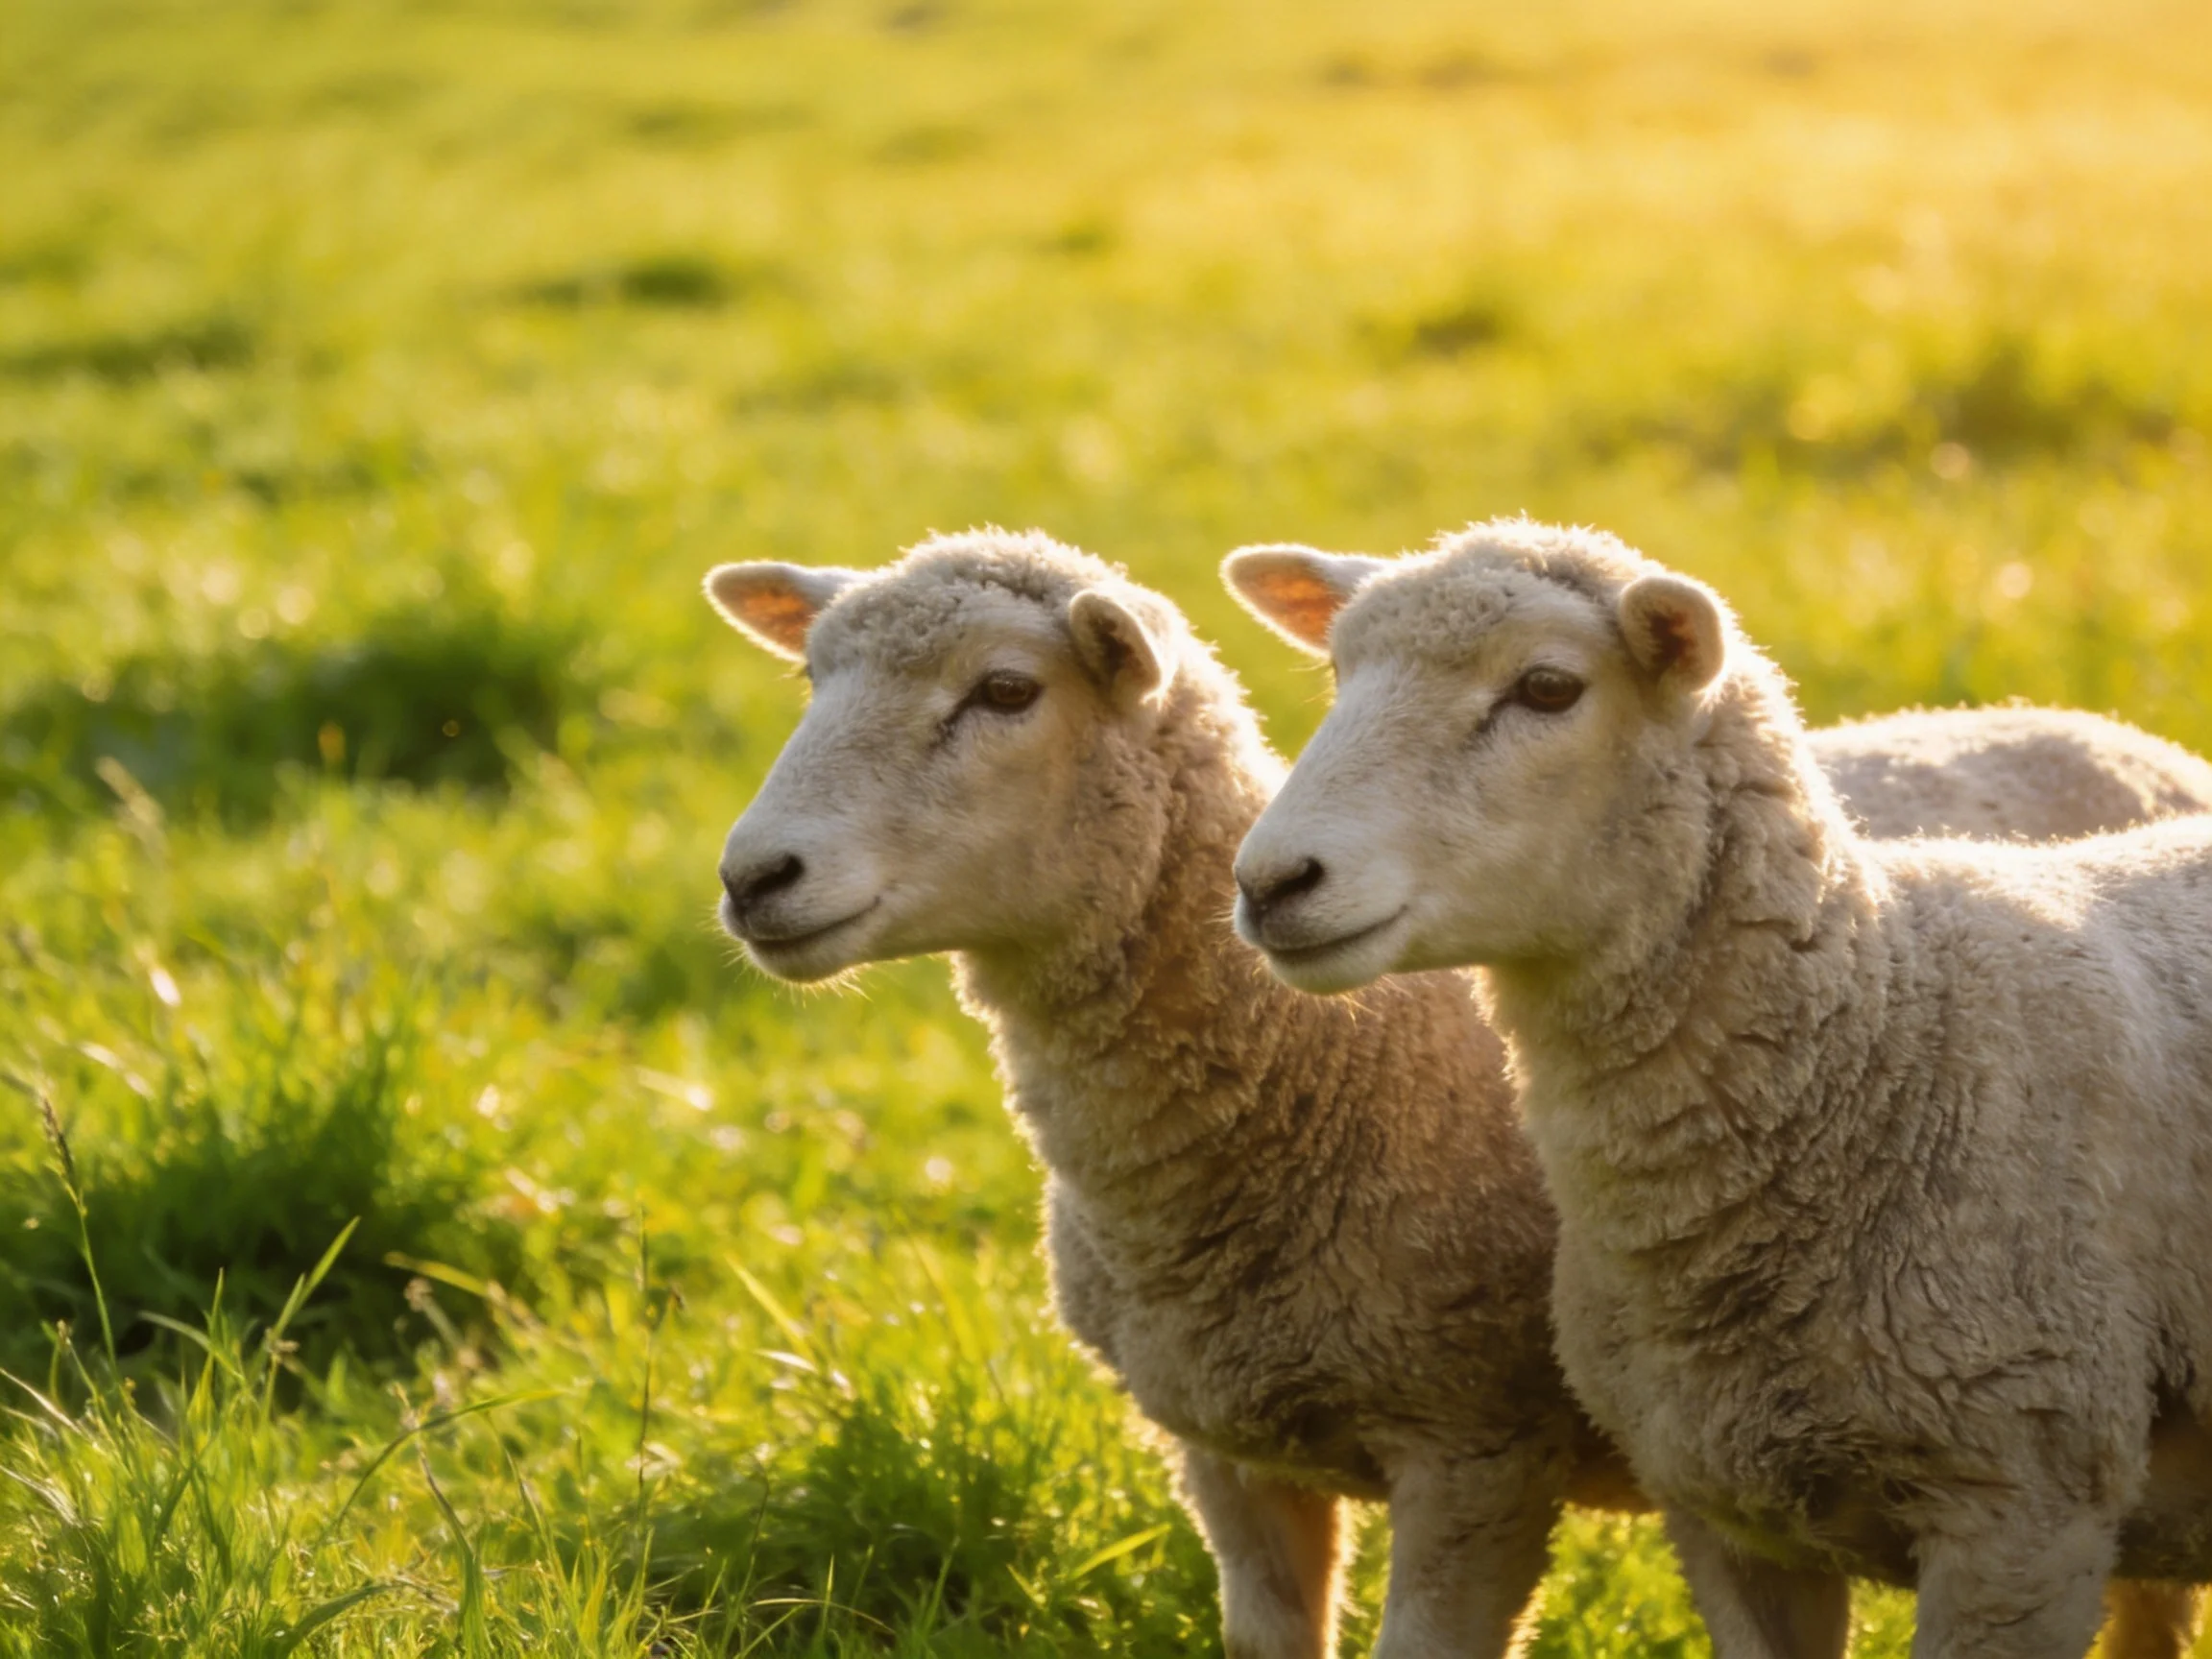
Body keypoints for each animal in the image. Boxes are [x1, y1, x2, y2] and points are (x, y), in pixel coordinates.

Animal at [1227, 518, 2212, 1659]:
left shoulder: (2021, 1508)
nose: (1270, 882)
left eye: (1549, 688)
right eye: (1339, 673)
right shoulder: (1723, 1509)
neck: (1881, 1059)